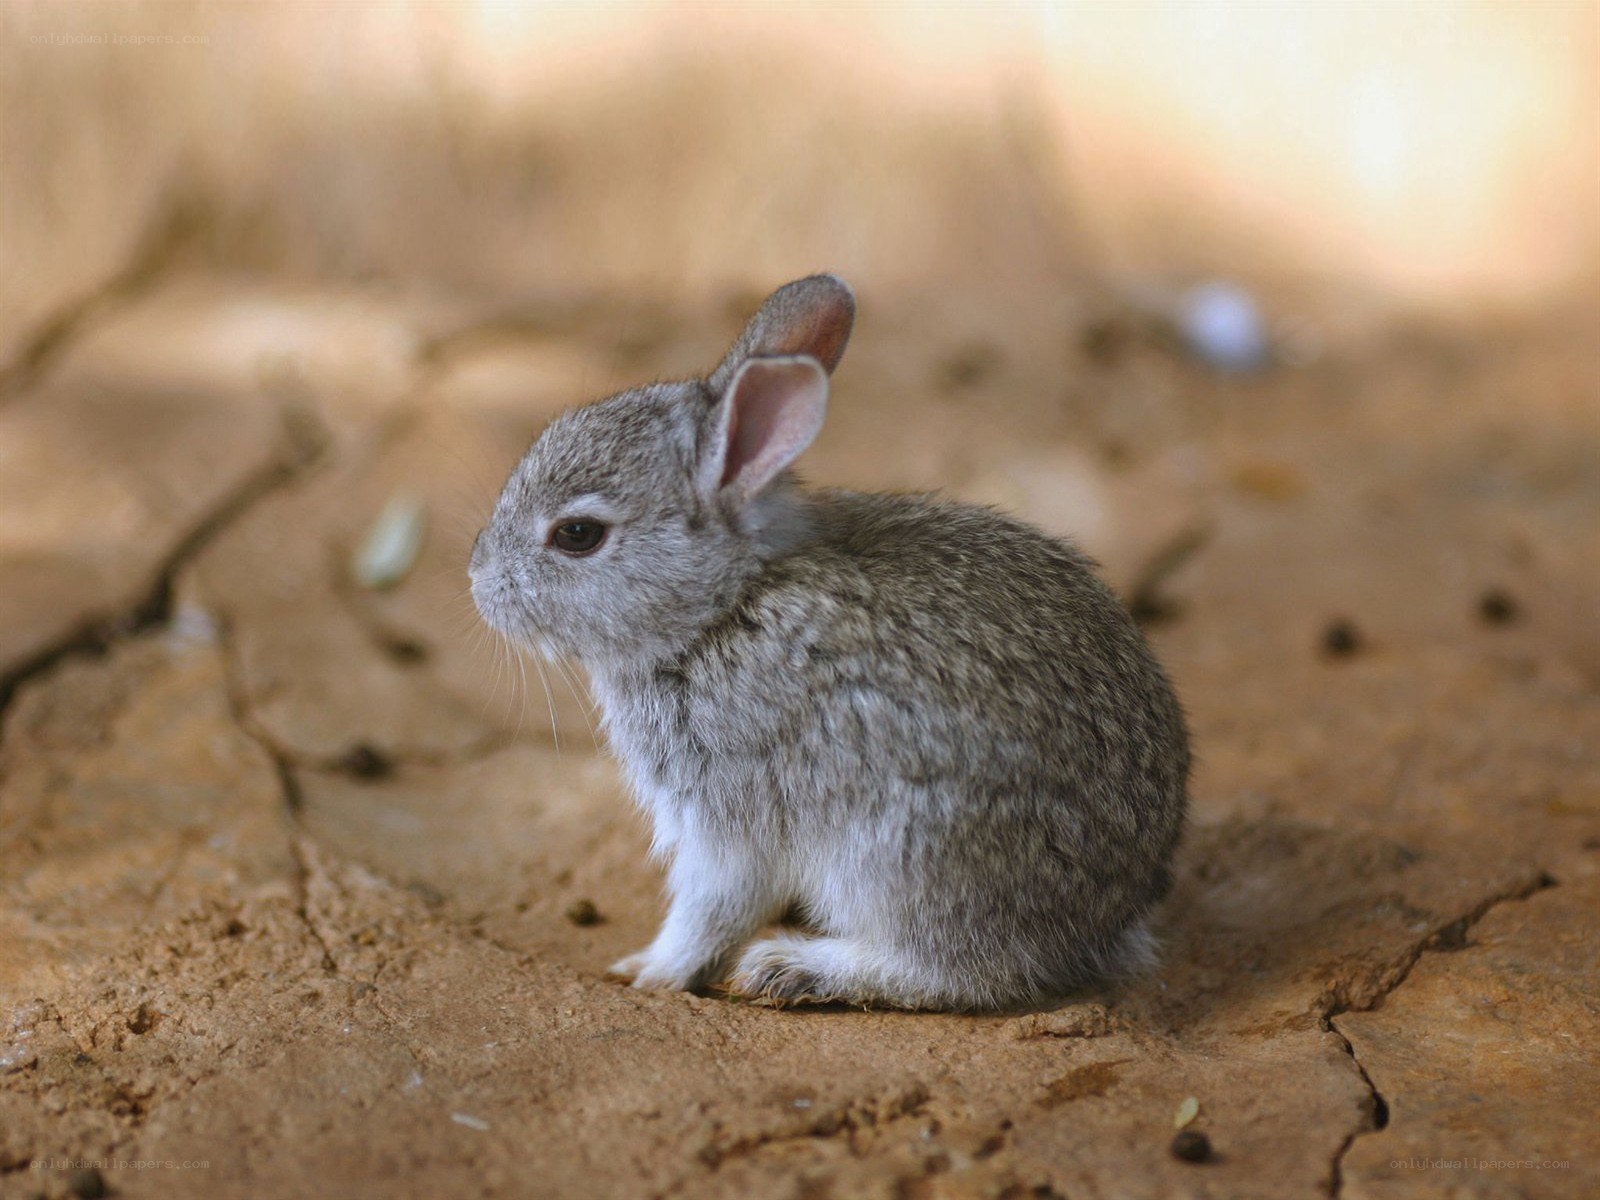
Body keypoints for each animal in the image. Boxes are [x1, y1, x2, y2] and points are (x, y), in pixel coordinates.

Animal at [470, 274, 1189, 1011]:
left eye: (577, 535)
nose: (478, 582)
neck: (723, 605)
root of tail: (1106, 916)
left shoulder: (730, 811)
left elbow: (712, 907)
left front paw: (652, 971)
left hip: (899, 854)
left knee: (962, 972)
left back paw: (794, 968)